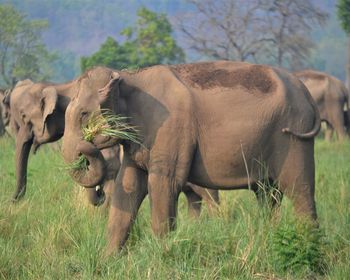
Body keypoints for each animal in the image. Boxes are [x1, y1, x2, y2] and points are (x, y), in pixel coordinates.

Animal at [60, 60, 320, 254]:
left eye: (84, 114)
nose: (86, 148)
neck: (130, 77)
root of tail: (306, 93)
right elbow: (129, 187)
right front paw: (108, 260)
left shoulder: (171, 128)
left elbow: (162, 184)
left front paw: (161, 256)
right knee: (268, 195)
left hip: (294, 137)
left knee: (299, 190)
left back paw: (308, 247)